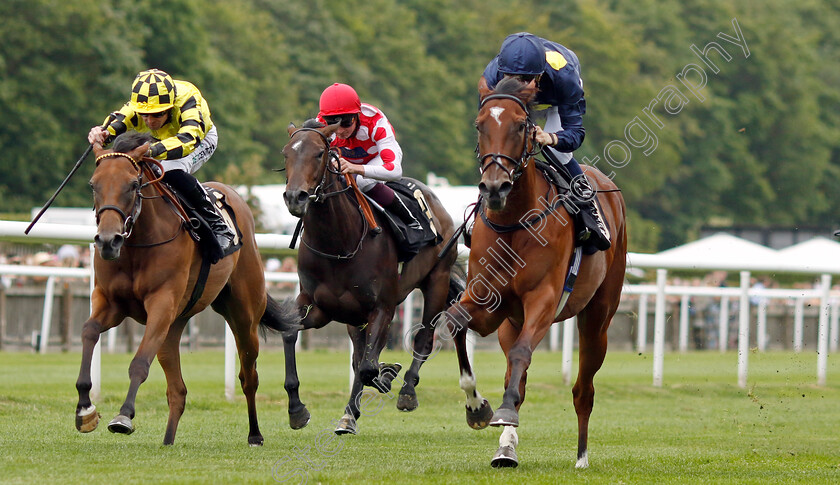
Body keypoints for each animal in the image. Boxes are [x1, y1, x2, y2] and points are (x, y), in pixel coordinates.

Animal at [74, 130, 300, 444]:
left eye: (133, 185)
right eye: (93, 185)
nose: (108, 241)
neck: (137, 245)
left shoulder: (161, 304)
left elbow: (139, 363)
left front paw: (124, 416)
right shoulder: (111, 303)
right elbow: (88, 332)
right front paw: (85, 409)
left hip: (243, 314)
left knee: (249, 376)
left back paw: (258, 433)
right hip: (175, 325)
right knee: (178, 391)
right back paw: (168, 441)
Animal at [280, 121, 462, 434]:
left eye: (319, 154)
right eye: (286, 154)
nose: (295, 197)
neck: (339, 243)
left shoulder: (383, 307)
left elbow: (368, 366)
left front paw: (387, 376)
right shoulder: (320, 306)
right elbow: (292, 332)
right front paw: (297, 409)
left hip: (436, 280)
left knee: (423, 339)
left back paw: (406, 391)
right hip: (355, 316)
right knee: (360, 356)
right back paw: (350, 415)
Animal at [450, 77, 628, 466]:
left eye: (520, 125)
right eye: (479, 124)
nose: (495, 187)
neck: (514, 222)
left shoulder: (543, 300)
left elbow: (522, 354)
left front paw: (499, 412)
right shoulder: (489, 305)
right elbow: (453, 322)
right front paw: (477, 408)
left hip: (598, 318)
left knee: (583, 389)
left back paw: (581, 457)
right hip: (510, 324)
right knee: (516, 379)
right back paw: (505, 448)